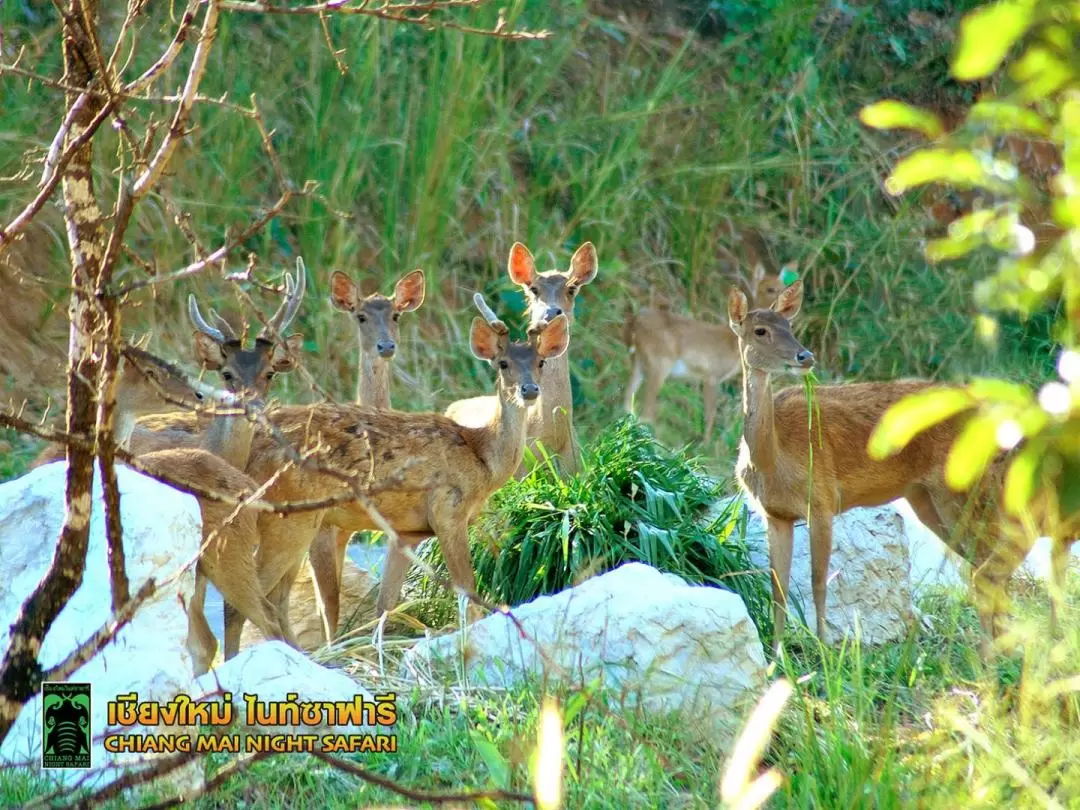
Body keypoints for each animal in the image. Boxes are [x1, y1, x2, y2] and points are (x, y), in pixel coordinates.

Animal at [622, 264, 790, 444]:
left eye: (783, 284)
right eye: (769, 288)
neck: (731, 343)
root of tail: (634, 323)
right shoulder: (711, 376)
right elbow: (710, 415)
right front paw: (706, 445)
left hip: (638, 362)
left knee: (628, 400)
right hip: (659, 364)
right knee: (645, 411)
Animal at [721, 282, 1032, 656]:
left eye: (789, 326)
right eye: (760, 330)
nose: (804, 357)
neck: (772, 459)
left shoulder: (822, 500)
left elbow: (818, 581)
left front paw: (824, 651)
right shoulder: (774, 514)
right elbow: (777, 586)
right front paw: (777, 655)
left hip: (963, 488)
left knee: (993, 558)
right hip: (925, 498)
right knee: (985, 562)